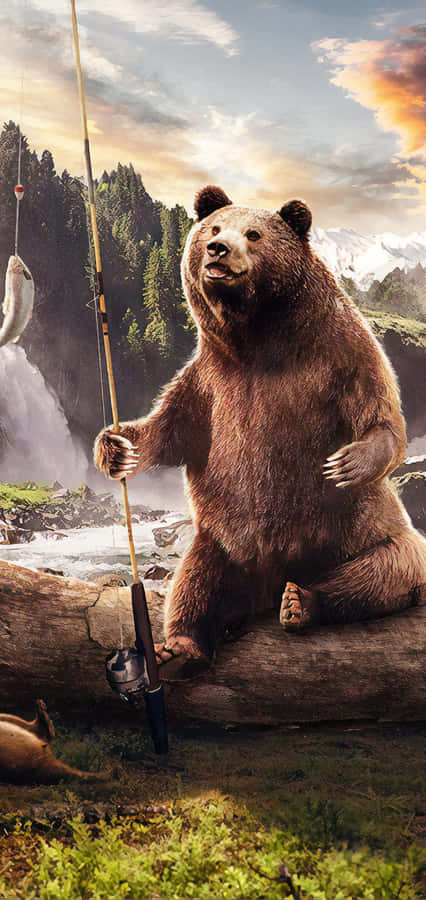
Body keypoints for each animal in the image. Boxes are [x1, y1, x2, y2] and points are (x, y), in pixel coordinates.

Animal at [94, 185, 426, 678]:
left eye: (253, 234)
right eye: (214, 227)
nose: (218, 249)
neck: (258, 339)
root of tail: (267, 584)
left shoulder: (341, 350)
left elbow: (380, 413)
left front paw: (347, 462)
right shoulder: (211, 381)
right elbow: (171, 429)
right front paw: (116, 447)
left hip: (362, 534)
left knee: (385, 571)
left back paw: (300, 602)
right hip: (223, 543)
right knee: (193, 582)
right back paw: (181, 646)